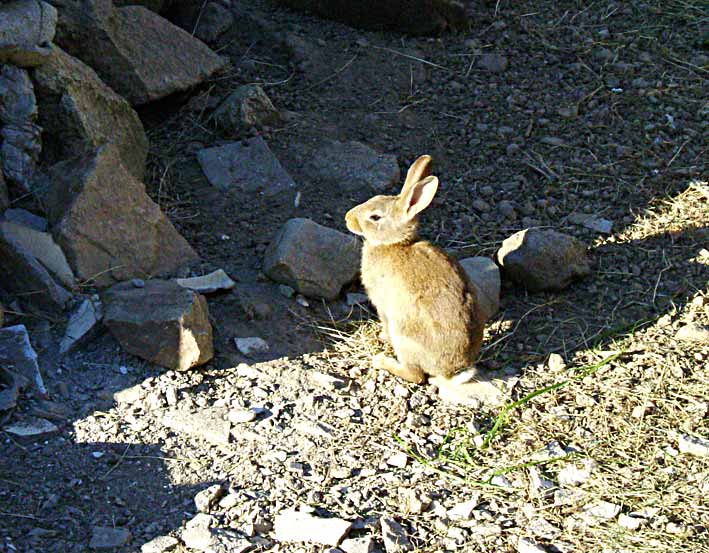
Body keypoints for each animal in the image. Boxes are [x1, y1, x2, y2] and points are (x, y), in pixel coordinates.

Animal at [345, 155, 500, 403]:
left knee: (416, 375)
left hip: (405, 336)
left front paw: (382, 336)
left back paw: (382, 361)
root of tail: (449, 372)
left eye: (375, 217)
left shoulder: (382, 306)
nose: (347, 218)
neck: (394, 243)